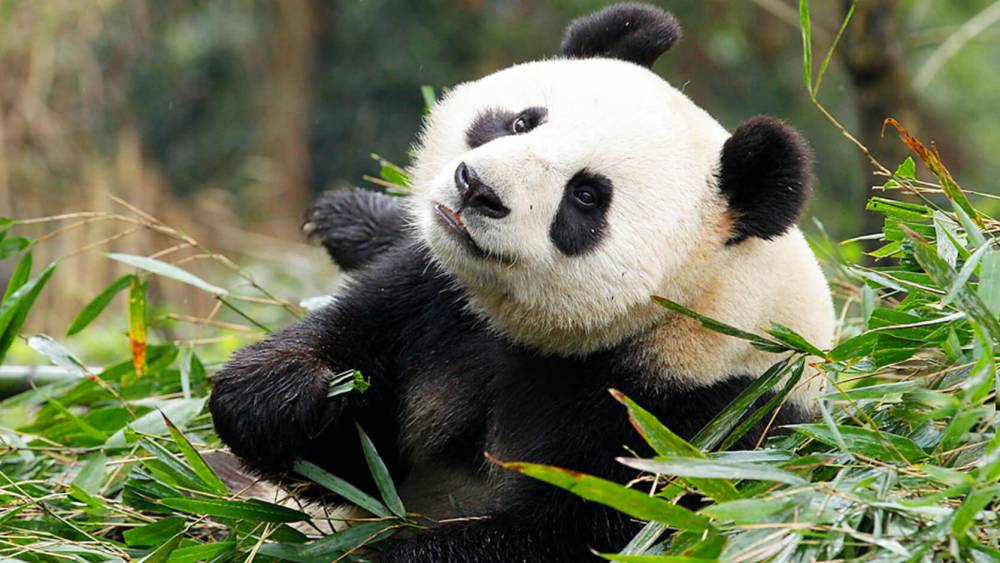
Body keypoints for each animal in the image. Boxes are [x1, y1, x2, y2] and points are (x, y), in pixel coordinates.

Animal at [209, 3, 834, 561]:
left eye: (587, 195)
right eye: (522, 121)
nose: (476, 187)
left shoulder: (689, 417)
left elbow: (577, 533)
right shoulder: (437, 301)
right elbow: (358, 458)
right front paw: (291, 392)